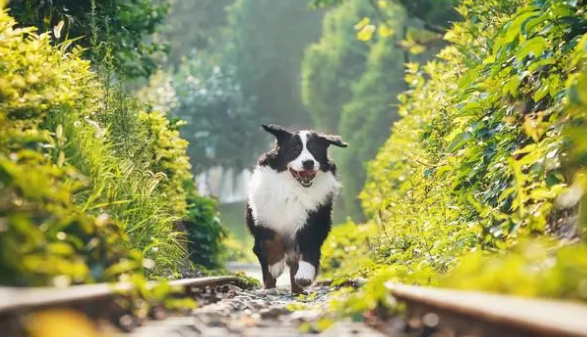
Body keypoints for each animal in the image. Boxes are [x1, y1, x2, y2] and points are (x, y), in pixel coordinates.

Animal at [246, 123, 346, 292]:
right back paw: (270, 286)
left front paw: (304, 276)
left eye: (314, 150)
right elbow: (271, 240)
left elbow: (308, 248)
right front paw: (275, 266)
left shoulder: (313, 220)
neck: (294, 190)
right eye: (295, 149)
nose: (308, 163)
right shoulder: (264, 219)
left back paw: (298, 288)